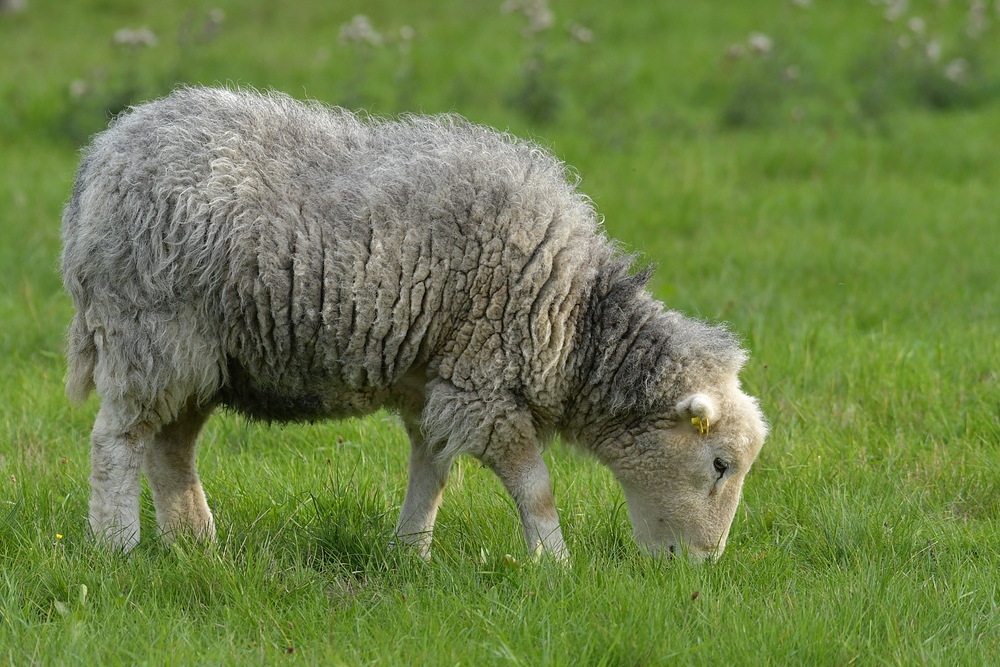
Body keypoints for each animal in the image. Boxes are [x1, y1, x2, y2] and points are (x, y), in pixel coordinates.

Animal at [62, 86, 764, 560]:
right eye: (720, 465)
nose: (700, 568)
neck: (570, 321)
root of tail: (104, 152)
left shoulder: (435, 383)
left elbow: (433, 473)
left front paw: (412, 555)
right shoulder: (484, 385)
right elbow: (534, 487)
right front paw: (556, 566)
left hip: (202, 357)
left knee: (169, 450)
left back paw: (197, 547)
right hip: (150, 334)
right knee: (115, 442)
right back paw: (119, 548)